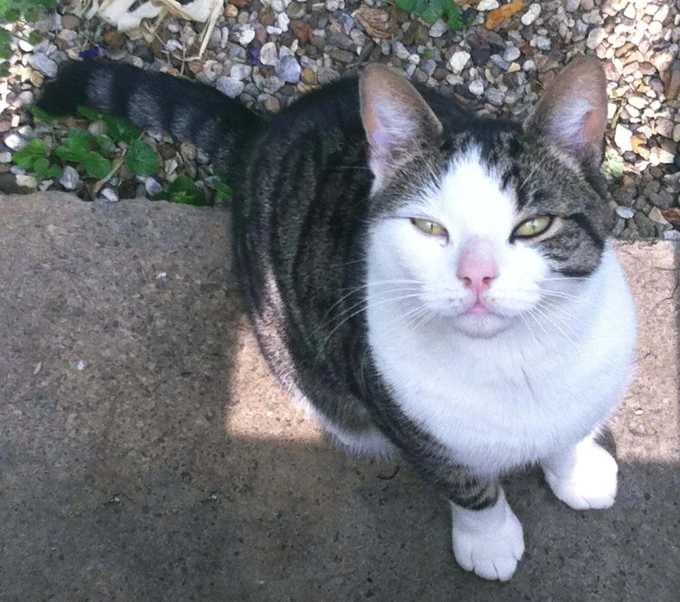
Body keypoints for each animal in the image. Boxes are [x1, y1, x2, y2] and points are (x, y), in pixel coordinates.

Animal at [38, 54, 636, 580]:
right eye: (428, 226)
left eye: (534, 226)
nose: (476, 275)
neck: (514, 359)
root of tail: (262, 132)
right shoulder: (402, 417)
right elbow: (466, 487)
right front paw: (489, 540)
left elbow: (567, 433)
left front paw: (577, 471)